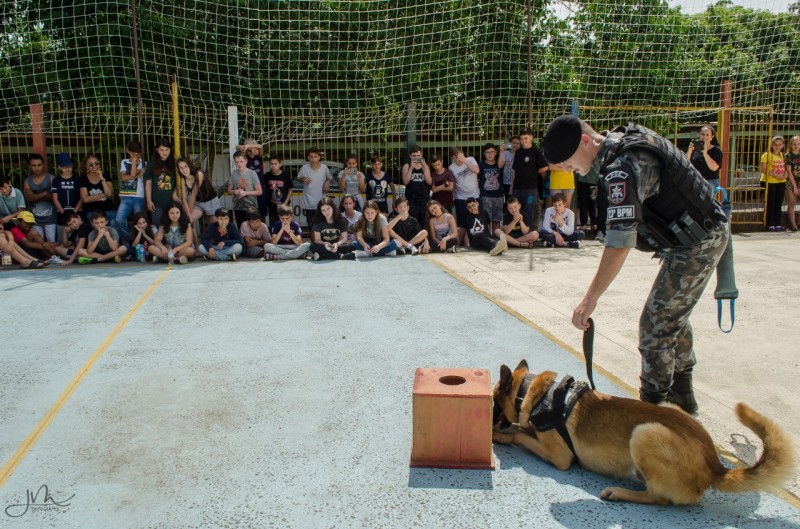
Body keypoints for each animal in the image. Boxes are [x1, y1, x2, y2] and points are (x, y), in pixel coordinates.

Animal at [494, 358, 792, 504]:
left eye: (495, 400)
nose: (492, 419)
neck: (533, 393)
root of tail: (715, 467)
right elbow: (523, 428)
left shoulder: (560, 456)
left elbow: (520, 434)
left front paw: (502, 436)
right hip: (668, 407)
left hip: (645, 434)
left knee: (661, 499)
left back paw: (619, 493)